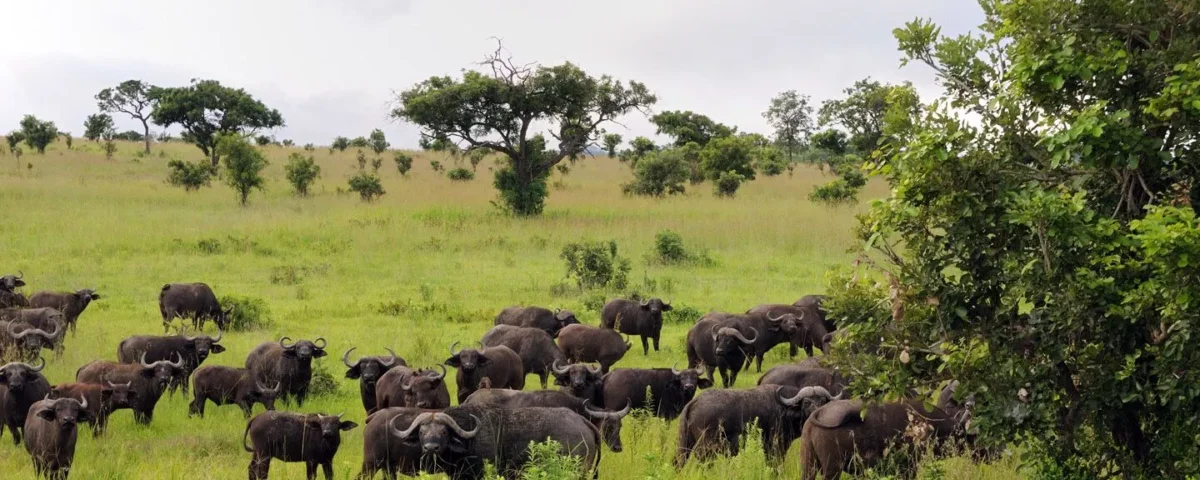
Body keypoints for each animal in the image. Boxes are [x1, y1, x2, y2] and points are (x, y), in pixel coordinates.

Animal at [676, 385, 839, 468]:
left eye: (823, 400)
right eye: (806, 402)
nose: (817, 411)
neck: (785, 409)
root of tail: (695, 401)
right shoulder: (776, 446)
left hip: (684, 444)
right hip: (706, 448)